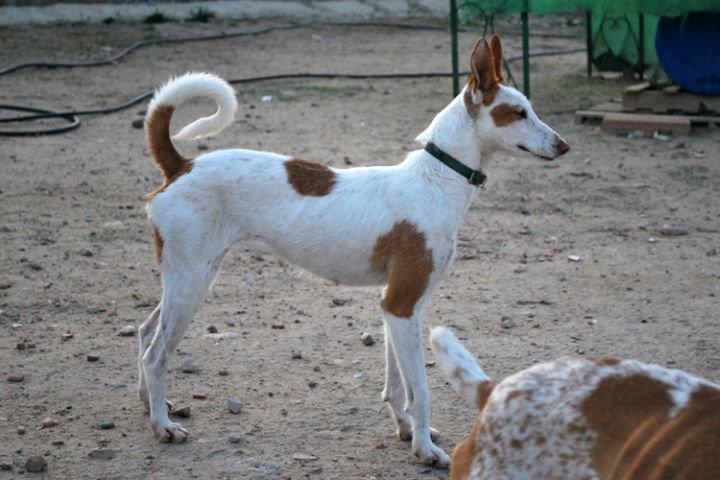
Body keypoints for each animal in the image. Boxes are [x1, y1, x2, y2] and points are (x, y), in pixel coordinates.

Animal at [138, 34, 572, 464]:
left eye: (529, 109)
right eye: (517, 113)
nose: (565, 145)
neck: (436, 179)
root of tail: (181, 166)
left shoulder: (397, 307)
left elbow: (397, 386)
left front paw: (407, 431)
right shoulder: (402, 304)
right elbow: (421, 390)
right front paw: (425, 449)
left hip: (186, 280)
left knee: (145, 332)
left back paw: (150, 406)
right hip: (192, 282)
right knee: (155, 356)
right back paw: (163, 427)